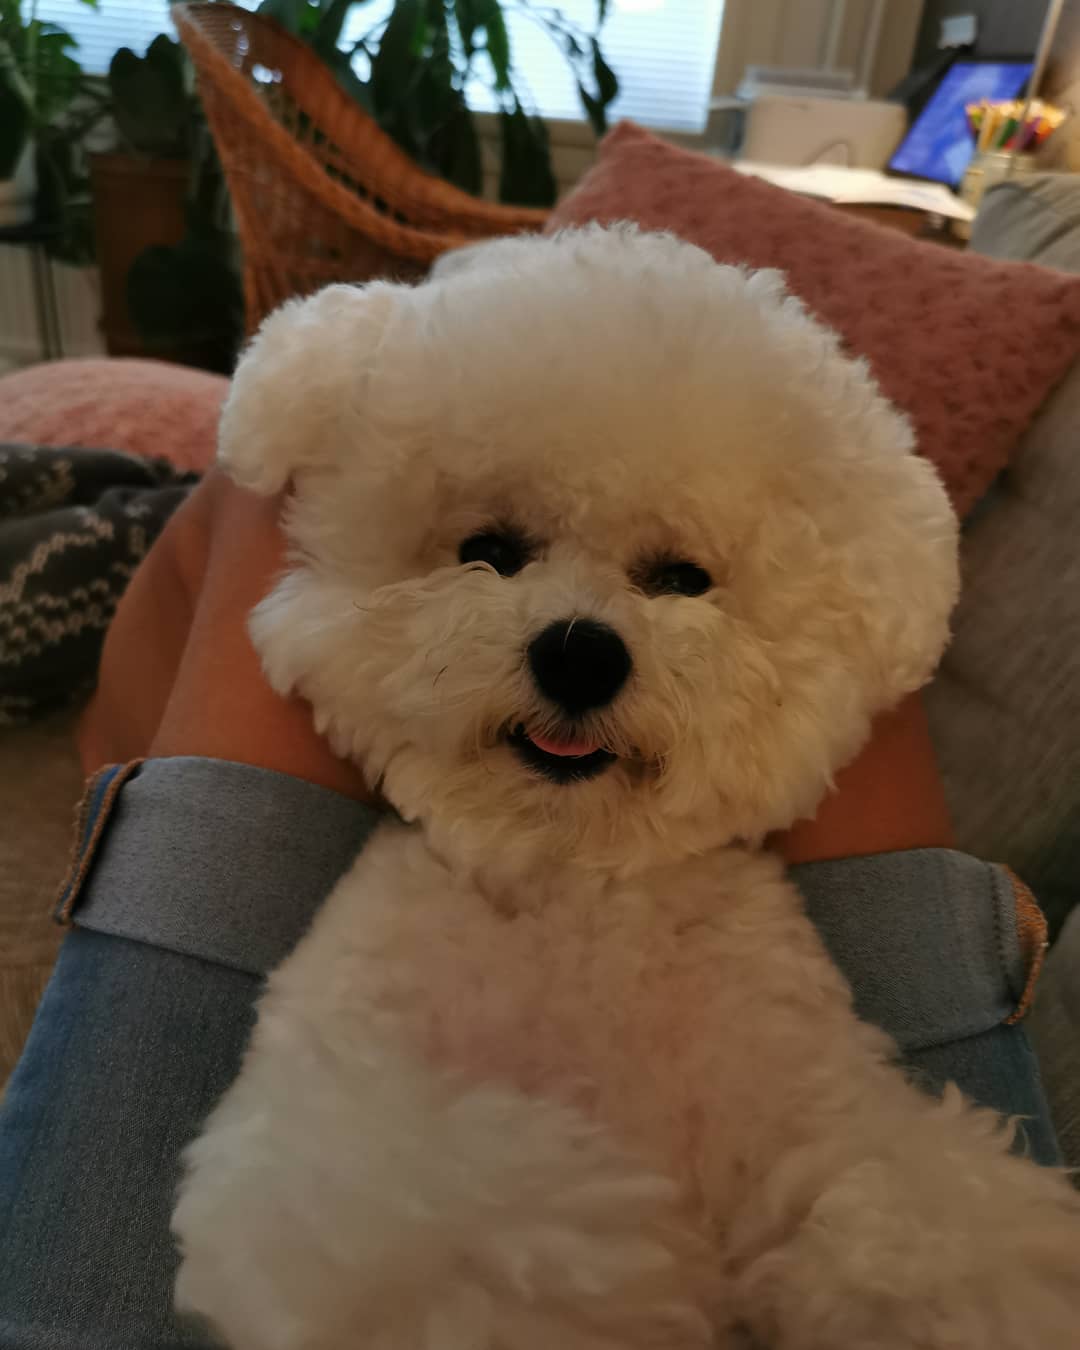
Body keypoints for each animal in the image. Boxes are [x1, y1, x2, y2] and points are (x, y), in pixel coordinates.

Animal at [172, 232, 1080, 1350]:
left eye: (682, 578)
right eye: (489, 551)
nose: (580, 654)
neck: (577, 888)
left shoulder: (801, 1095)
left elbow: (911, 1217)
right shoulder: (362, 1131)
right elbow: (461, 1239)